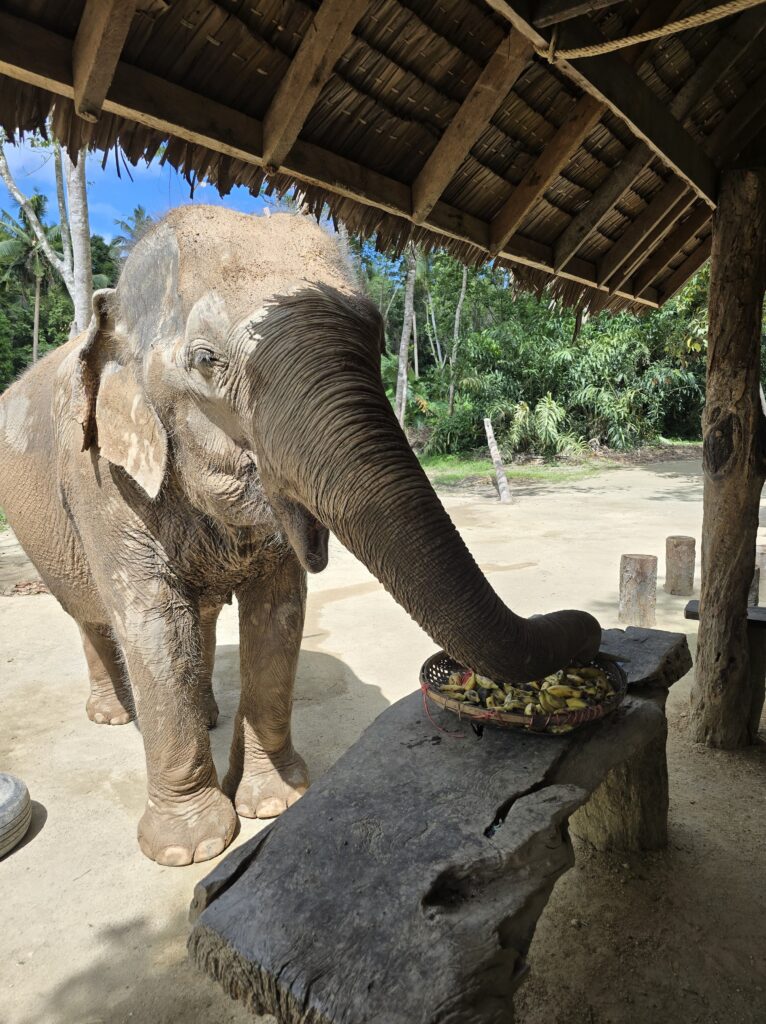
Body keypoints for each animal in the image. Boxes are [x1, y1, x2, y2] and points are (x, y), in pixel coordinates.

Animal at [0, 205, 602, 864]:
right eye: (206, 360)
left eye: (378, 342)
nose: (592, 629)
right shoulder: (103, 479)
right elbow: (151, 618)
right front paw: (191, 849)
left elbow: (279, 611)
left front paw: (272, 805)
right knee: (94, 615)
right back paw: (113, 715)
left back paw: (205, 714)